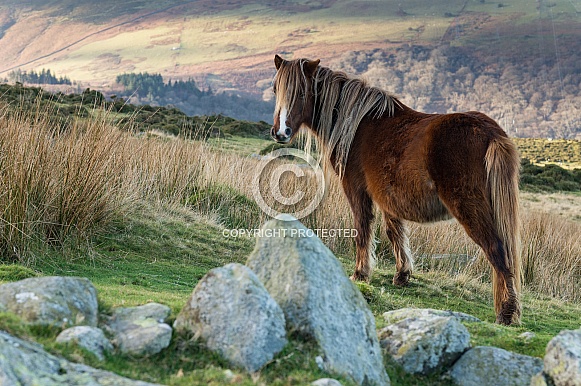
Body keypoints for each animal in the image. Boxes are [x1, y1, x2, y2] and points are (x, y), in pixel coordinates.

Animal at [270, 55, 520, 326]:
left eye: (302, 92)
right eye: (275, 90)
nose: (280, 133)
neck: (357, 124)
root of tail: (492, 133)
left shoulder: (356, 189)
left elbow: (362, 229)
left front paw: (360, 273)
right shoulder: (387, 197)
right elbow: (395, 232)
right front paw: (402, 274)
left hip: (469, 207)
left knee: (497, 250)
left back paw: (506, 313)